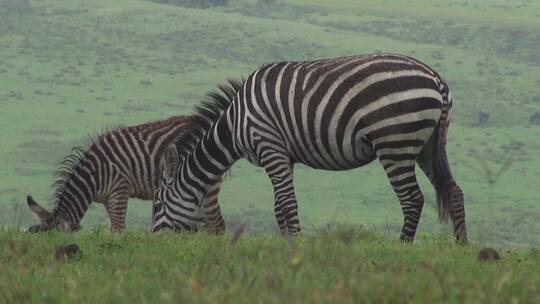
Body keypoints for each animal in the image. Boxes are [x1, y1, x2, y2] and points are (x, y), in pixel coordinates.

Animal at [153, 54, 468, 245]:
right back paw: (461, 246)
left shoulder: (270, 146)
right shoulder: (284, 156)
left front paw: (295, 245)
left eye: (156, 205)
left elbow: (286, 204)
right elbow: (280, 206)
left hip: (395, 144)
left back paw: (402, 247)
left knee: (413, 199)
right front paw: (286, 243)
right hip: (427, 146)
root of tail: (437, 81)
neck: (235, 122)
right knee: (453, 191)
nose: (152, 240)